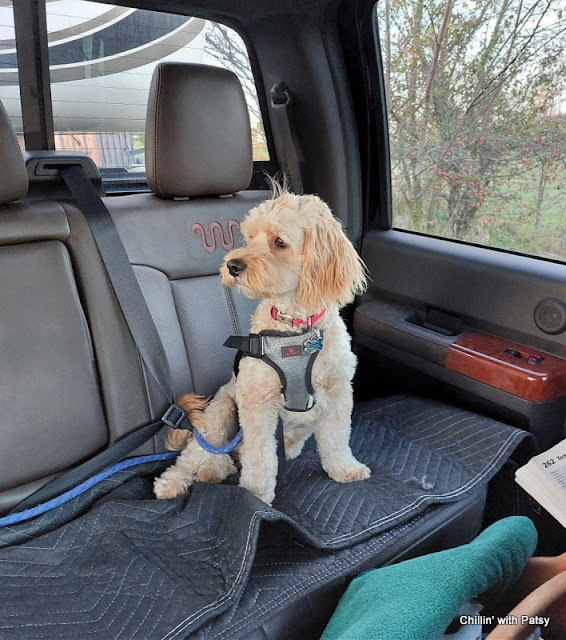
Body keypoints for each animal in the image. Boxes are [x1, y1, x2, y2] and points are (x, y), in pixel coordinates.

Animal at [154, 187, 370, 505]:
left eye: (279, 241)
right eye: (250, 237)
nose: (232, 265)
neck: (294, 329)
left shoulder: (337, 392)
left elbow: (336, 439)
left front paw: (344, 468)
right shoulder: (256, 400)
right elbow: (259, 456)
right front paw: (255, 495)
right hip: (219, 415)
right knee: (194, 454)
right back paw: (173, 481)